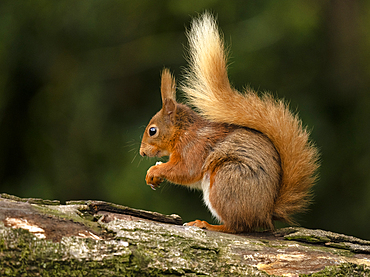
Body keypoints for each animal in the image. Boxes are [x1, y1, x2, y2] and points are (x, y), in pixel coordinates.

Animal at [140, 12, 320, 233]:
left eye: (152, 131)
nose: (142, 153)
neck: (183, 132)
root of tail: (265, 215)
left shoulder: (194, 148)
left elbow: (185, 171)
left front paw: (154, 170)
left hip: (225, 181)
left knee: (236, 226)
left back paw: (207, 224)